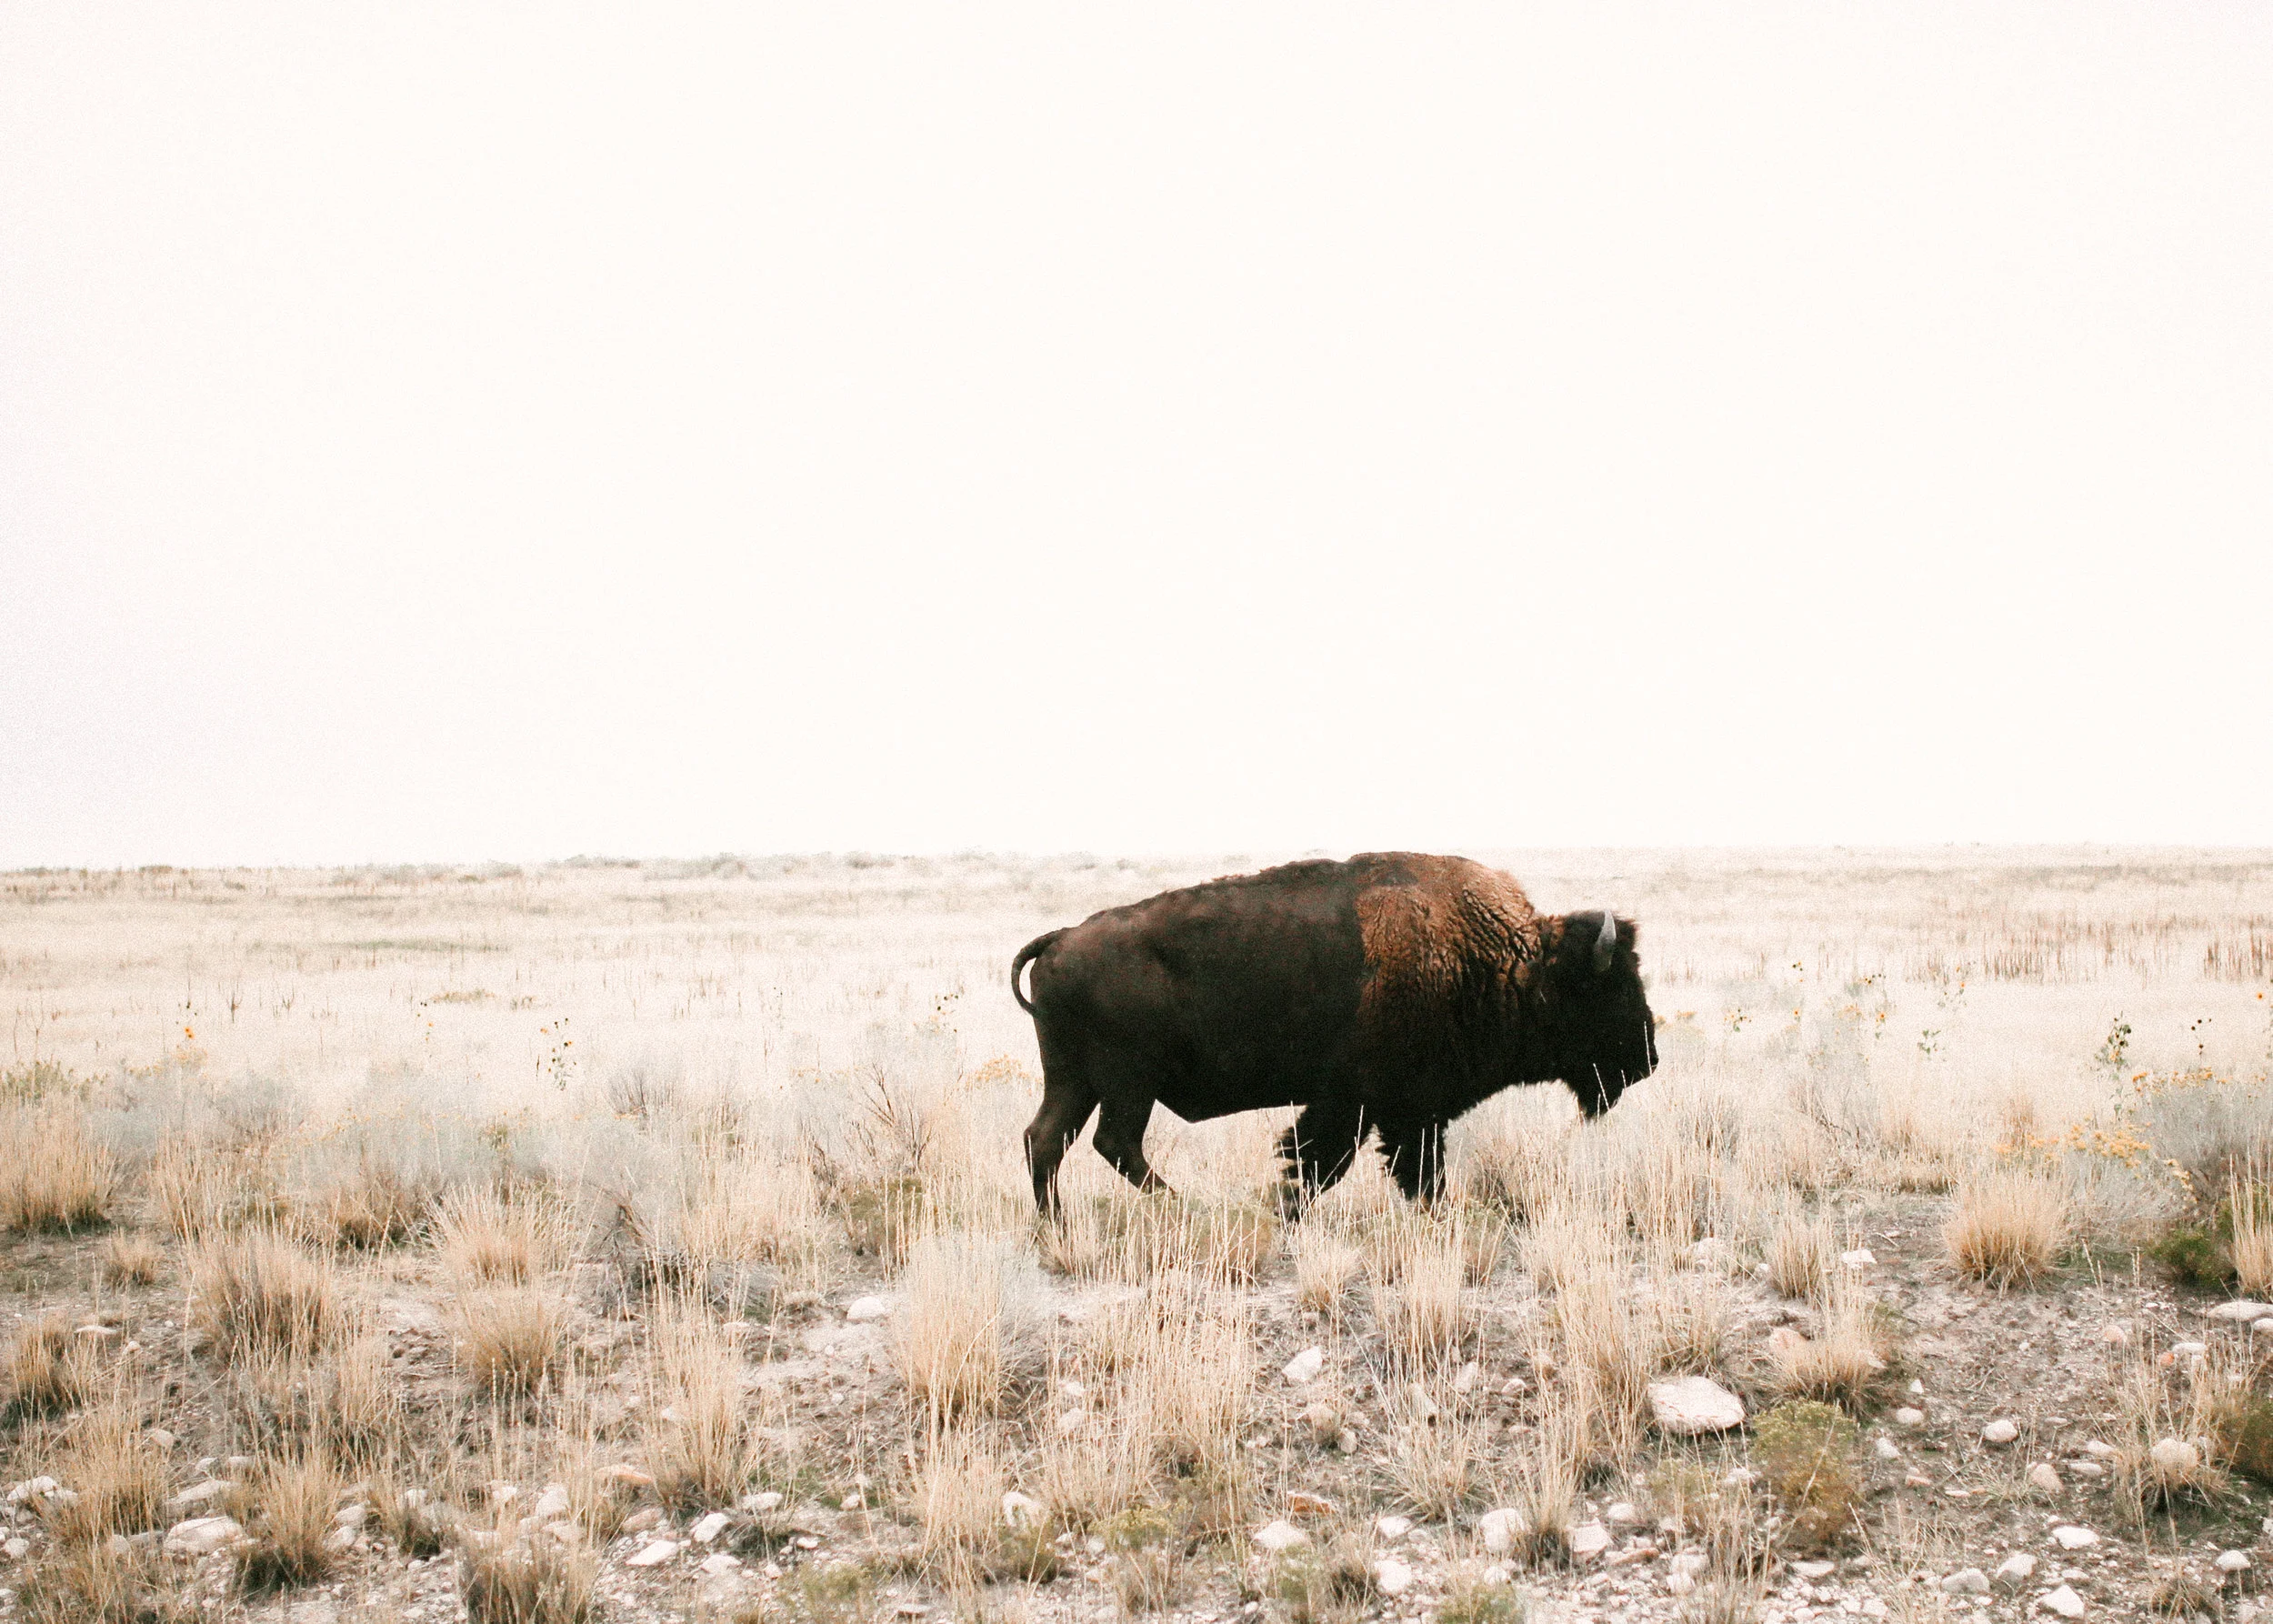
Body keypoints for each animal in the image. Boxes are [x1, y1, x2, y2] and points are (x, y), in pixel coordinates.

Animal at [1009, 851, 1656, 1212]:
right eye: (1613, 988)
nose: (1648, 1058)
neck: (1507, 962)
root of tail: (1062, 937)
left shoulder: (1387, 1109)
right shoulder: (1374, 1104)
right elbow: (1333, 1160)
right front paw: (1287, 1207)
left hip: (1075, 1081)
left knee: (1048, 1139)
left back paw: (1056, 1225)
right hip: (1126, 1085)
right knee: (1113, 1143)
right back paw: (1182, 1206)